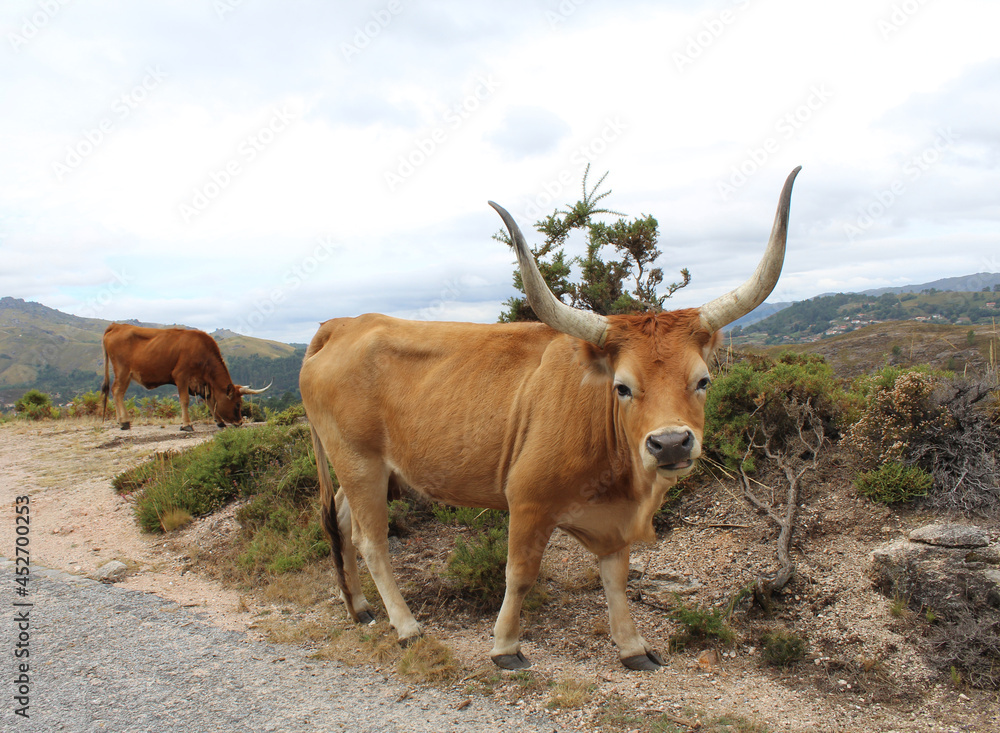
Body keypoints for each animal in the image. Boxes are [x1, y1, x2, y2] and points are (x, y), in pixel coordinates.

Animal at [100, 323, 270, 431]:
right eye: (237, 404)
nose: (240, 422)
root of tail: (117, 325)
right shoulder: (181, 376)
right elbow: (185, 401)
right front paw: (187, 424)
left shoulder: (203, 383)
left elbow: (210, 401)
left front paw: (219, 422)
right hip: (123, 371)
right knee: (117, 392)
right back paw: (124, 422)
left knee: (116, 393)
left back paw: (119, 420)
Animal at [300, 167, 800, 670]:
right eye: (622, 386)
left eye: (703, 380)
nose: (672, 443)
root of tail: (345, 324)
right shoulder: (527, 500)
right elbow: (520, 574)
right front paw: (505, 646)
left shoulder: (613, 521)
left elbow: (616, 577)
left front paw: (632, 646)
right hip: (360, 462)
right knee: (373, 542)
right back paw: (407, 627)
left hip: (367, 469)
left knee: (341, 520)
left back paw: (359, 607)